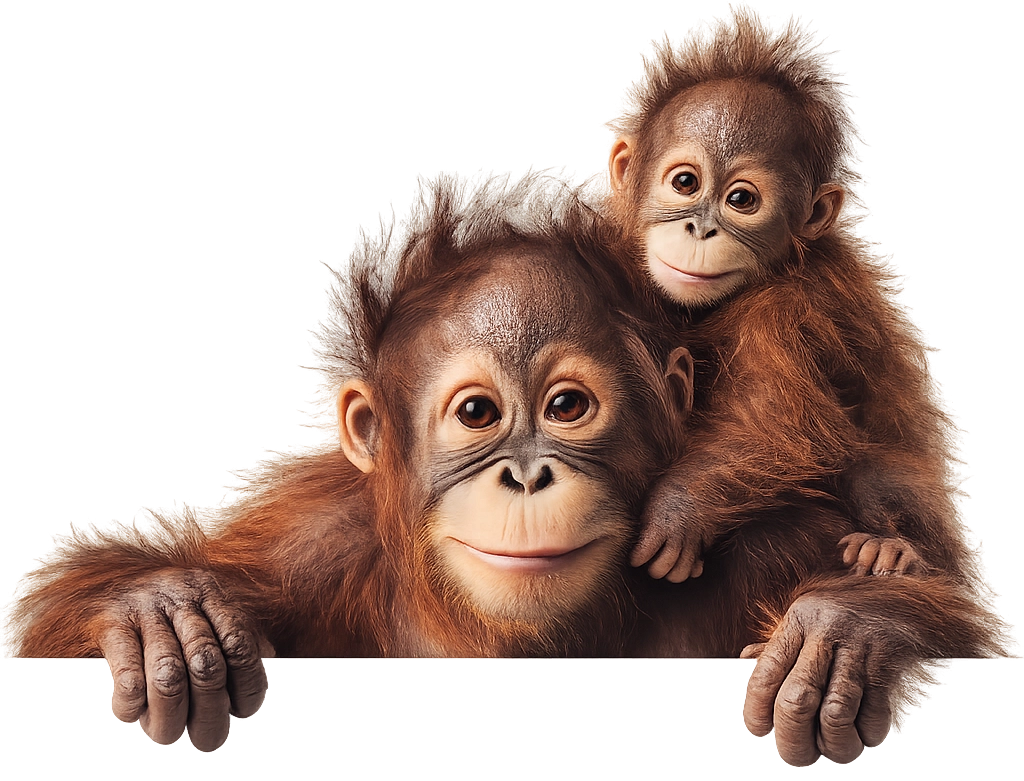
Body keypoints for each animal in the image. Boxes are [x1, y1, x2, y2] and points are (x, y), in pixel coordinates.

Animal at [19, 197, 989, 766]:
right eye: (480, 414)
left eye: (566, 405)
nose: (527, 474)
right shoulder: (314, 550)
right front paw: (157, 614)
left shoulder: (777, 543)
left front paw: (850, 629)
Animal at [607, 24, 964, 585]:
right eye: (685, 182)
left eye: (741, 200)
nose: (700, 229)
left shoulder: (788, 309)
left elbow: (780, 419)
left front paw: (676, 508)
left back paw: (893, 549)